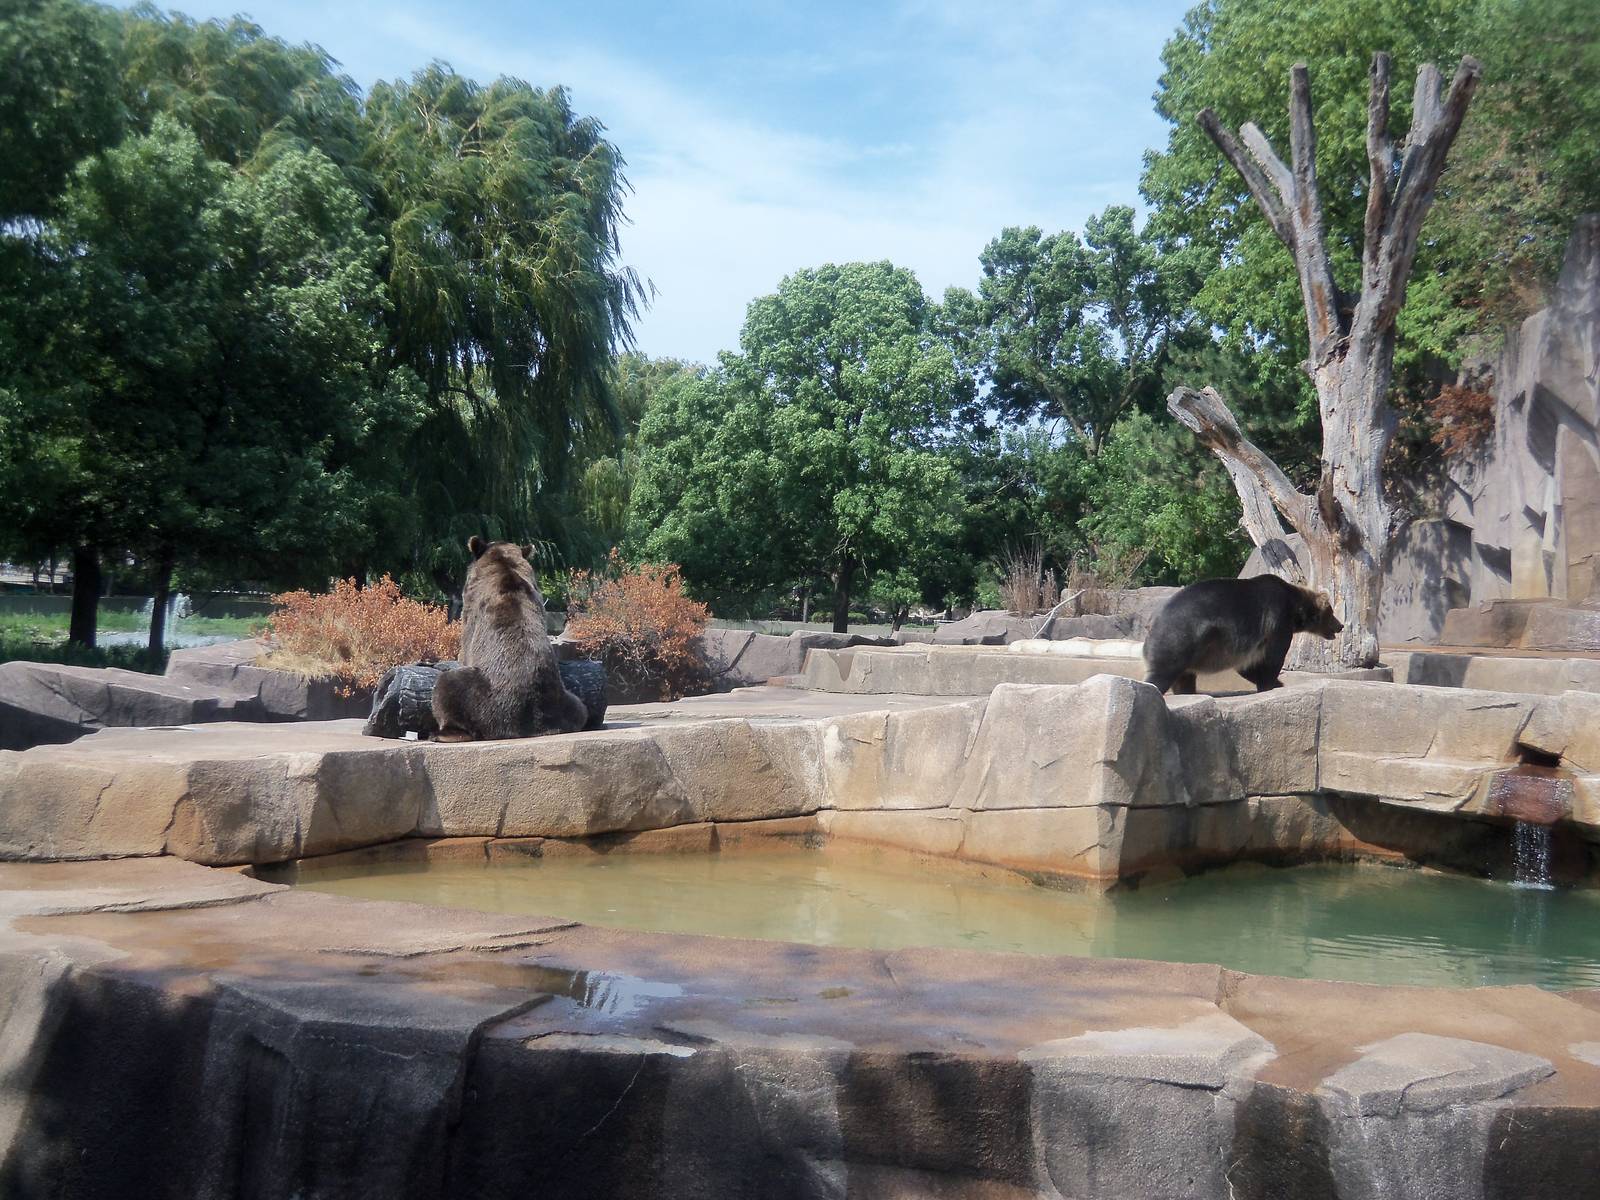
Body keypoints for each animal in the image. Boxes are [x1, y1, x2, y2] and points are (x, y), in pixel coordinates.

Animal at [431, 537, 589, 741]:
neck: (505, 565)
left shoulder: (473, 607)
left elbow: (465, 647)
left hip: (484, 697)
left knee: (448, 684)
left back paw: (445, 732)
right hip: (561, 701)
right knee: (580, 708)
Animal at [1142, 574, 1343, 695]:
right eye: (1331, 612)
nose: (1340, 625)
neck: (1295, 608)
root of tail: (1152, 621)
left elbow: (1248, 666)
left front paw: (1276, 683)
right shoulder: (1277, 619)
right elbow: (1273, 657)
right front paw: (1270, 684)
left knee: (1185, 678)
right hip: (1179, 638)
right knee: (1163, 672)